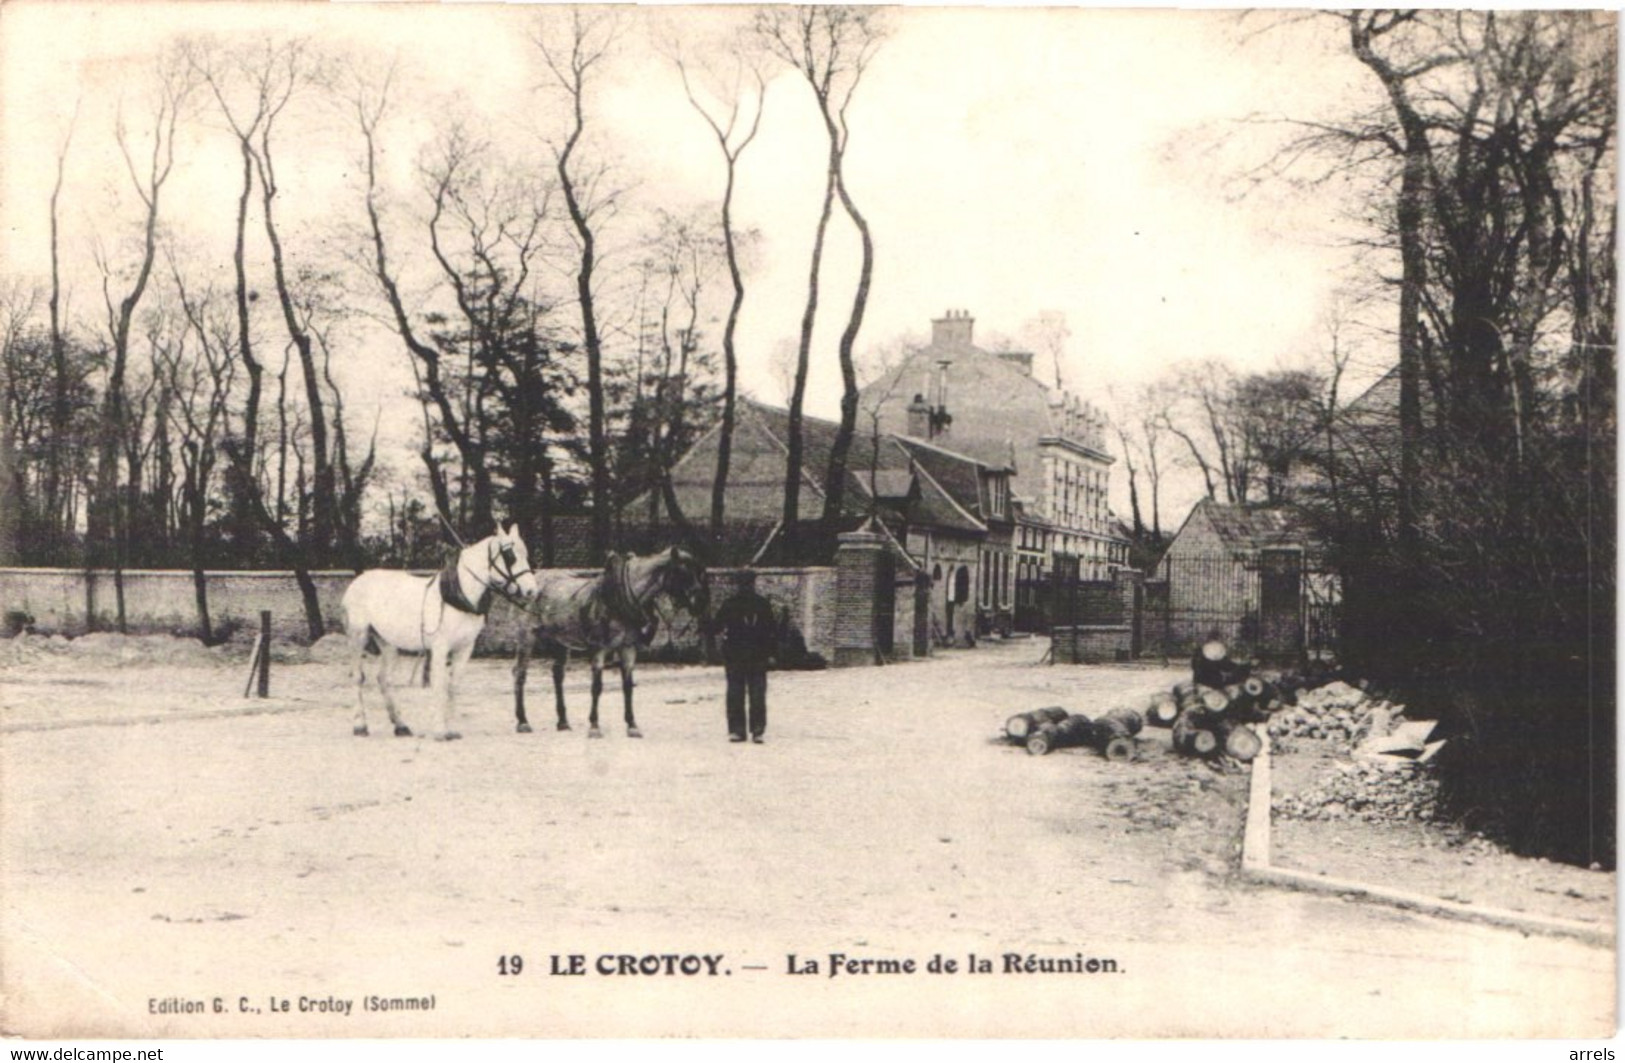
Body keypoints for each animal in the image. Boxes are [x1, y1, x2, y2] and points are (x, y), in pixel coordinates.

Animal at [342, 529, 539, 744]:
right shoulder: (440, 648)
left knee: (384, 678)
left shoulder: (464, 649)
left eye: (526, 554)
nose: (531, 590)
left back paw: (401, 726)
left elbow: (452, 686)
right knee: (358, 677)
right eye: (510, 556)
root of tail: (358, 581)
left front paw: (451, 729)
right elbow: (439, 686)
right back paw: (360, 726)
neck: (458, 594)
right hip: (358, 636)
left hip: (388, 643)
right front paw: (439, 731)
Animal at [510, 549, 708, 741]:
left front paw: (632, 726)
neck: (620, 600)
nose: (700, 603)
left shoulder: (628, 648)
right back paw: (523, 721)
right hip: (526, 637)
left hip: (560, 642)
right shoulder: (599, 649)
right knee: (520, 673)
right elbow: (596, 687)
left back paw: (563, 722)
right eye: (682, 572)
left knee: (558, 674)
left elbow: (627, 686)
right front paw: (594, 727)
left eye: (697, 571)